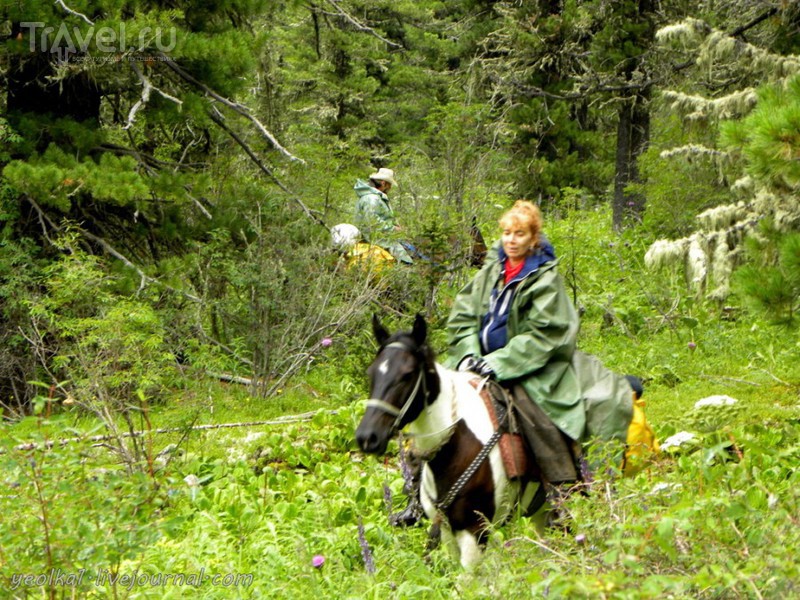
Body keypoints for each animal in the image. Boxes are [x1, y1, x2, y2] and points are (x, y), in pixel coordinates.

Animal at [358, 314, 540, 568]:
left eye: (407, 374)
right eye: (372, 373)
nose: (367, 437)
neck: (457, 447)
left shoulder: (475, 532)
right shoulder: (445, 530)